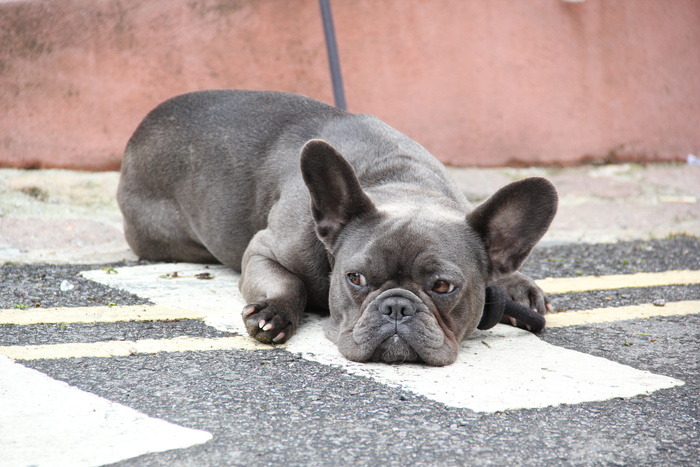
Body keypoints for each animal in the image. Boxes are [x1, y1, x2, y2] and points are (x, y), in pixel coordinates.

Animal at [119, 90, 556, 366]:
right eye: (355, 278)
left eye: (443, 286)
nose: (396, 307)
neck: (401, 183)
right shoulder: (262, 251)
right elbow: (288, 282)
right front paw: (273, 313)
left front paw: (514, 285)